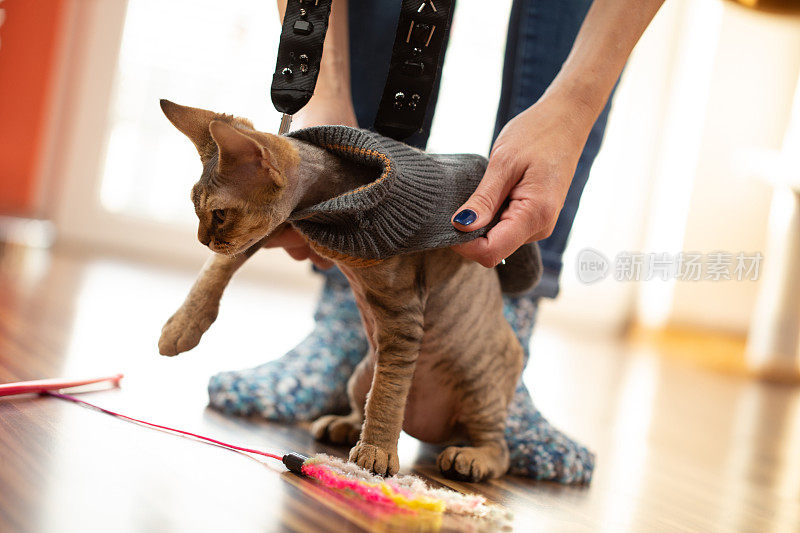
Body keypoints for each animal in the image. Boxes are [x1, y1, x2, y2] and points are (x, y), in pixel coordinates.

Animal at [158, 100, 536, 482]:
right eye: (196, 209)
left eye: (219, 214)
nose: (201, 239)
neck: (333, 202)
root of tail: (428, 432)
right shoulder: (279, 228)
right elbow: (217, 266)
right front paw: (182, 326)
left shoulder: (403, 318)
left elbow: (388, 393)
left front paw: (377, 451)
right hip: (361, 375)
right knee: (366, 402)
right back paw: (343, 425)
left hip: (478, 387)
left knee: (497, 449)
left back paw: (470, 458)